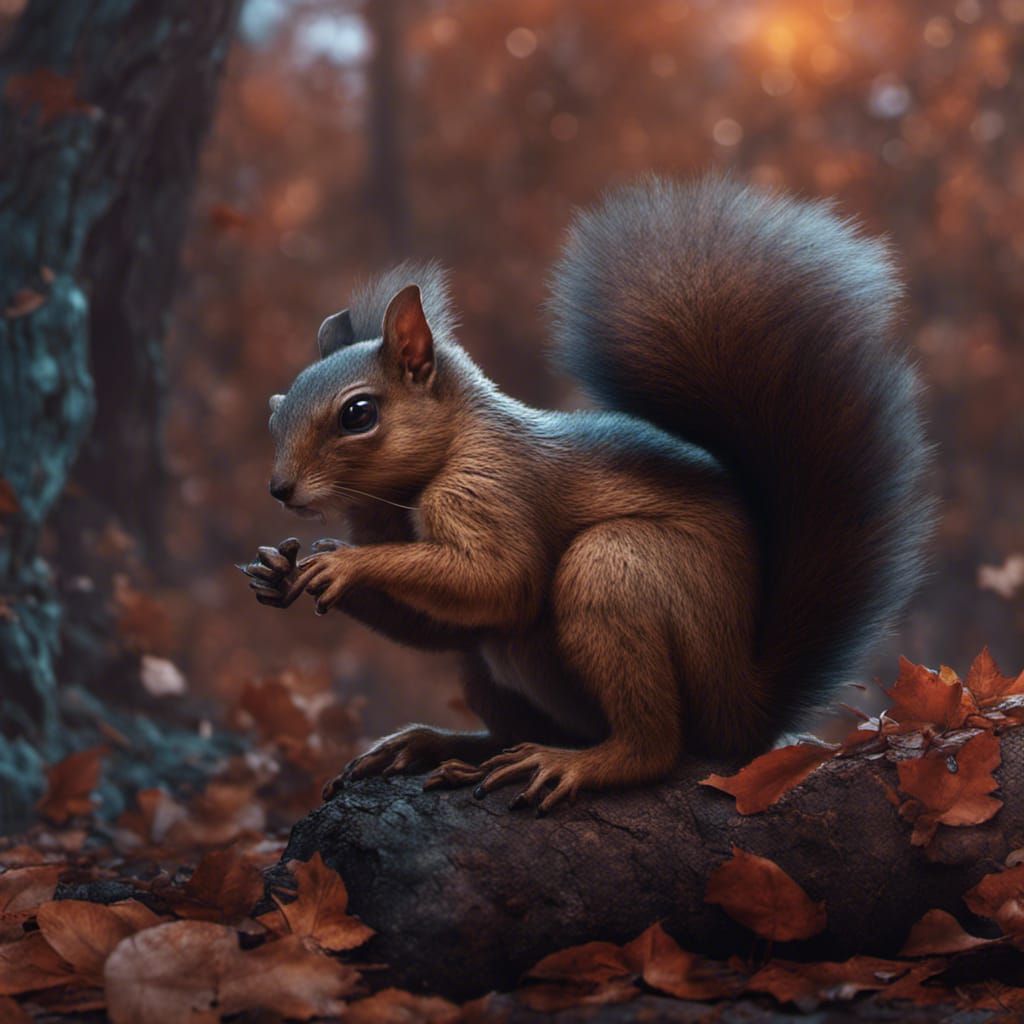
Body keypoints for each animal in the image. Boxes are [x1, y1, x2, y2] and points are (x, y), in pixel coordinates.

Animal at [241, 175, 933, 813]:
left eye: (358, 414)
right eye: (275, 410)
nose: (280, 490)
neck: (412, 489)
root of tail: (744, 713)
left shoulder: (494, 486)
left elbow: (501, 579)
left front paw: (344, 564)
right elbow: (436, 624)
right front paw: (279, 572)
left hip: (616, 571)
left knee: (655, 747)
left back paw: (573, 763)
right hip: (493, 668)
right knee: (506, 720)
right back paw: (439, 747)